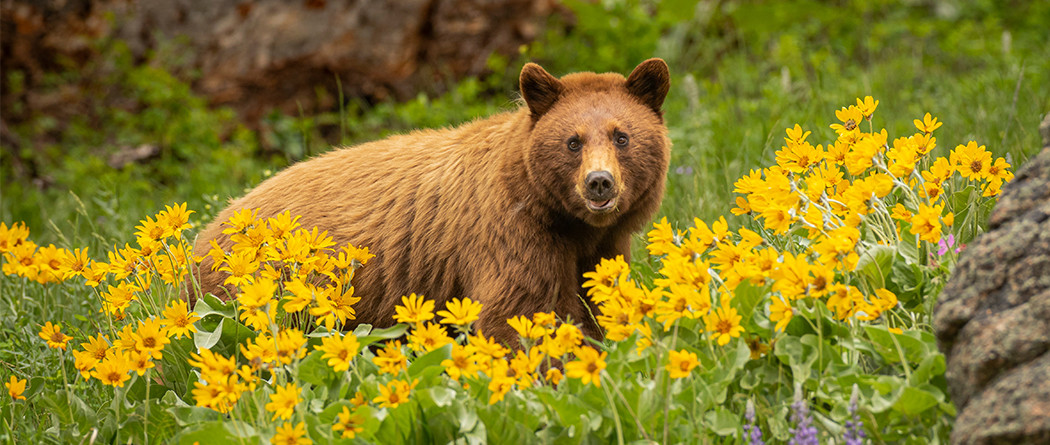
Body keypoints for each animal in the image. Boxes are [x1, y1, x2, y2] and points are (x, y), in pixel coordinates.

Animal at [194, 58, 672, 348]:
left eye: (622, 136)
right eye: (573, 141)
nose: (599, 183)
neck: (565, 222)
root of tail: (207, 231)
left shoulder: (602, 248)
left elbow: (597, 303)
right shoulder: (511, 235)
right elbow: (517, 314)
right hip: (255, 296)